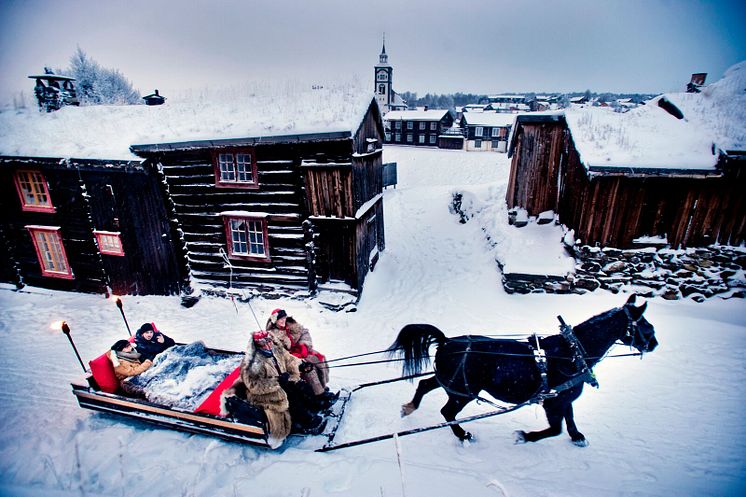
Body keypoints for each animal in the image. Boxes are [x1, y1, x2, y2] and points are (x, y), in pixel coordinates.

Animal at [386, 294, 652, 446]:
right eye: (647, 327)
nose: (655, 343)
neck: (572, 352)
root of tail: (447, 341)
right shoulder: (553, 402)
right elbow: (555, 429)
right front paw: (525, 436)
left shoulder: (563, 397)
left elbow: (570, 418)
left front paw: (577, 436)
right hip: (464, 393)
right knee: (447, 412)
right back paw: (464, 435)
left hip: (452, 383)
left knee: (425, 384)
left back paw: (409, 408)